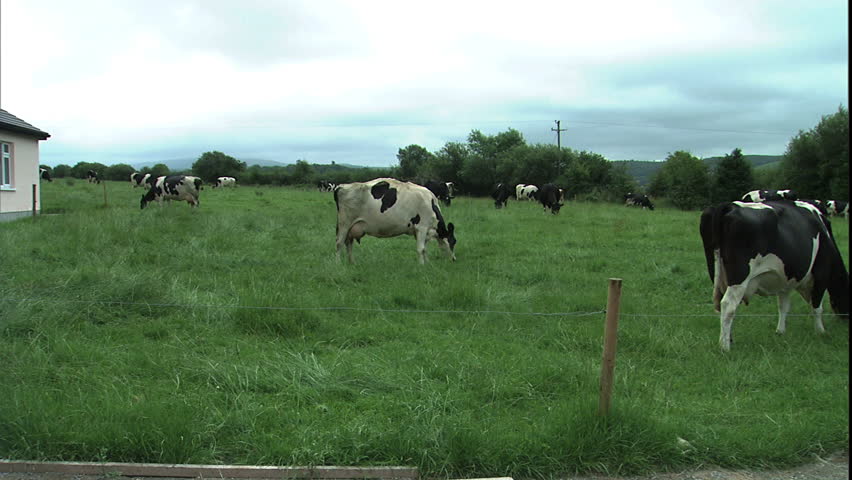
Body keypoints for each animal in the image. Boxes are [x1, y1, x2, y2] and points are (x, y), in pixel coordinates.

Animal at [699, 200, 849, 351]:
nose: (845, 320)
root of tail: (730, 205)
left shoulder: (785, 281)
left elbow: (783, 306)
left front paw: (780, 331)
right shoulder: (822, 274)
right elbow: (817, 306)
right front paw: (821, 332)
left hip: (716, 273)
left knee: (719, 303)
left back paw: (729, 340)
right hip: (739, 276)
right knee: (728, 305)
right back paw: (725, 347)